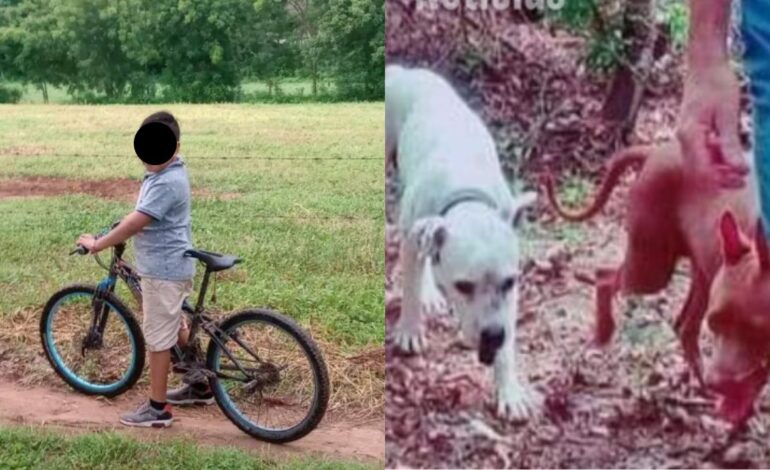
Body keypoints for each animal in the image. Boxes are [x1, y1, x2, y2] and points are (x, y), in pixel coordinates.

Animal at [384, 64, 540, 420]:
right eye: (464, 286)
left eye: (509, 282)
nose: (492, 336)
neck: (467, 194)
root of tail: (403, 70)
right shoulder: (411, 238)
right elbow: (409, 288)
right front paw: (410, 330)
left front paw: (508, 390)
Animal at [544, 141, 768, 424]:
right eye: (715, 323)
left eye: (756, 330)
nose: (716, 383)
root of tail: (655, 151)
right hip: (650, 269)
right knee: (605, 277)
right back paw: (604, 332)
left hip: (698, 273)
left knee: (684, 326)